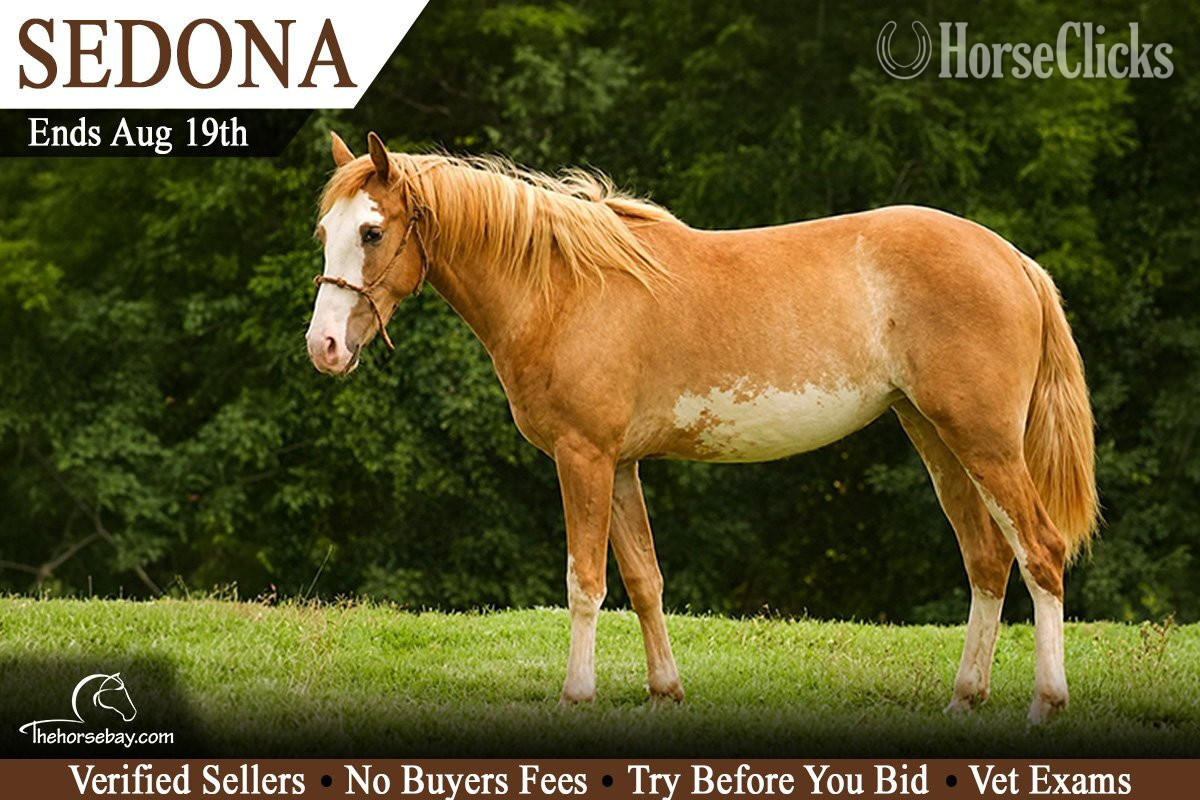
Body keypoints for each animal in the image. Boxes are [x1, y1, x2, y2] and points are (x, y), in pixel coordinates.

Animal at [305, 132, 1099, 725]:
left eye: (371, 231)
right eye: (324, 233)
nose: (325, 347)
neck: (563, 288)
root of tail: (1013, 260)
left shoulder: (583, 458)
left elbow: (585, 580)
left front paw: (576, 695)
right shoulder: (621, 464)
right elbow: (644, 579)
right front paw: (665, 692)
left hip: (983, 443)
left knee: (1040, 552)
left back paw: (1046, 703)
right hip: (934, 436)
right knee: (988, 560)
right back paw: (965, 699)